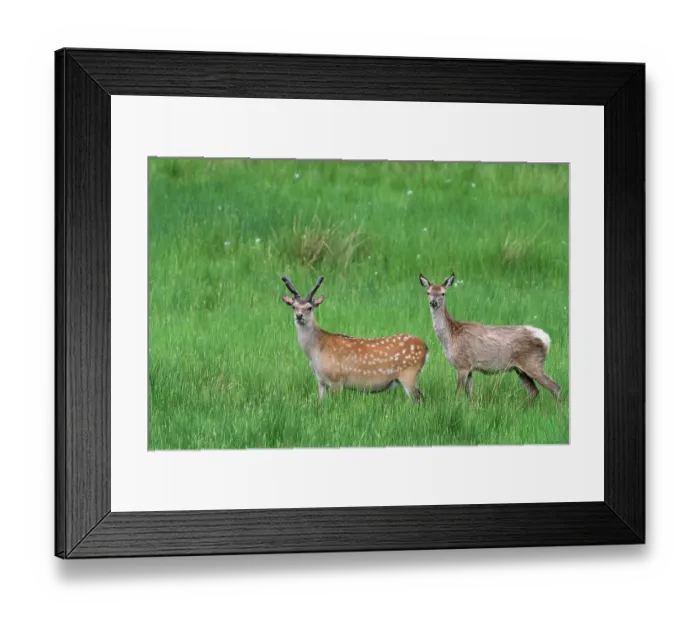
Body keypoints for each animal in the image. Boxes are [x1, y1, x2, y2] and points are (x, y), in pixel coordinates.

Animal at [280, 275, 429, 403]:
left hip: (409, 373)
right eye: (293, 306)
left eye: (309, 308)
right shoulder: (320, 381)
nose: (299, 316)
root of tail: (426, 348)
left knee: (420, 400)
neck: (316, 350)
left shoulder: (336, 379)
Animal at [419, 272, 561, 404]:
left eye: (443, 293)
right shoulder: (469, 368)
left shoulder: (462, 364)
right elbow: (470, 394)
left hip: (533, 363)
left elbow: (458, 392)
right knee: (534, 391)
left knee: (555, 387)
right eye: (428, 292)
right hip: (520, 369)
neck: (450, 337)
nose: (433, 302)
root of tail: (546, 339)